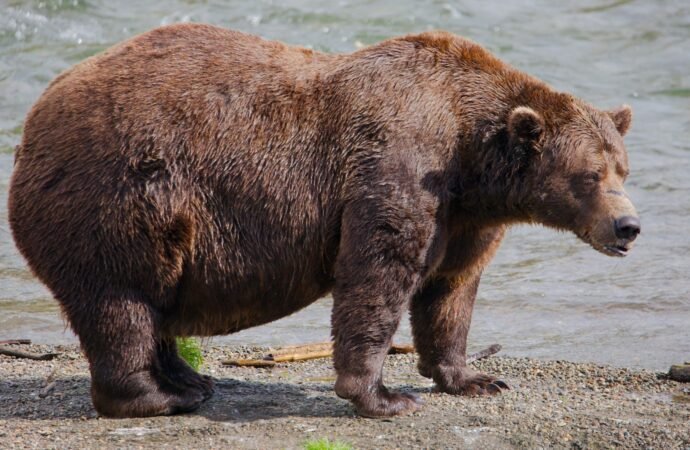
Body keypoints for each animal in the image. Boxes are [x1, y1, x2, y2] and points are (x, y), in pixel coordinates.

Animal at [8, 23, 640, 418]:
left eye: (623, 168)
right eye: (590, 175)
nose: (628, 227)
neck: (471, 156)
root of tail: (32, 121)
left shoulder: (465, 216)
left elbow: (450, 290)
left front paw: (474, 378)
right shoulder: (399, 164)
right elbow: (378, 273)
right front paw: (383, 397)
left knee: (153, 302)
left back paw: (190, 379)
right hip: (119, 196)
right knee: (122, 301)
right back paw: (158, 397)